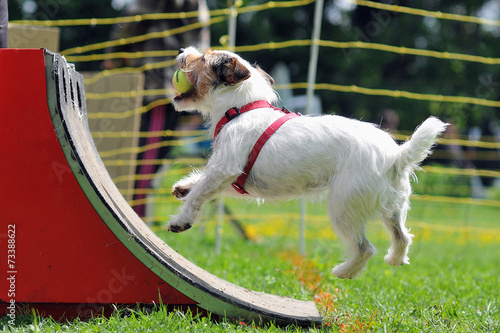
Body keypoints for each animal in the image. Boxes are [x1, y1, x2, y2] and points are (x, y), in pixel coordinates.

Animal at [166, 46, 448, 278]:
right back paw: (395, 259)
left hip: (342, 206)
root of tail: (396, 156)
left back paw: (343, 272)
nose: (180, 50)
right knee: (403, 237)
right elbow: (203, 184)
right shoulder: (235, 179)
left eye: (203, 58)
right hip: (393, 208)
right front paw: (185, 186)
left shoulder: (226, 169)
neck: (241, 107)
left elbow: (200, 194)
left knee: (365, 248)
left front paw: (182, 219)